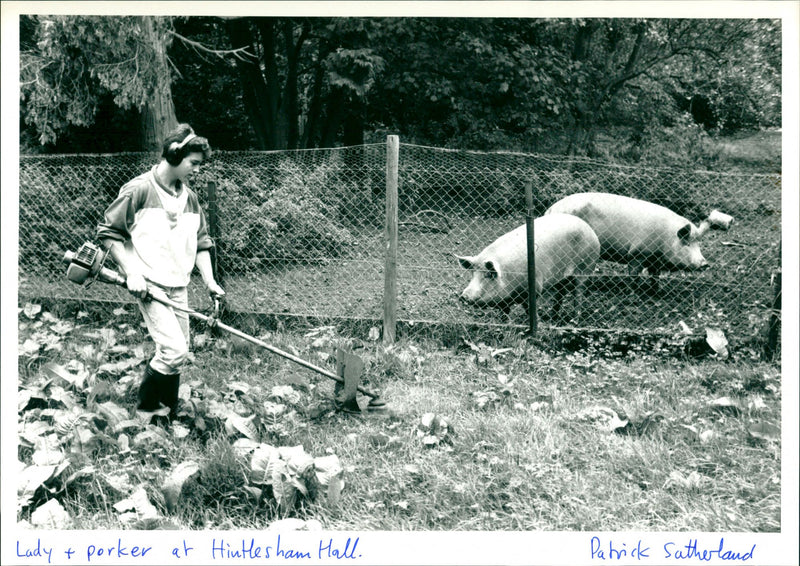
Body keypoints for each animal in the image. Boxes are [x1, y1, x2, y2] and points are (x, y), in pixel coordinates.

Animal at [456, 214, 600, 322]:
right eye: (473, 273)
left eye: (489, 275)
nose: (464, 296)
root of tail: (589, 229)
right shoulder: (504, 299)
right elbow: (504, 312)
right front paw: (506, 325)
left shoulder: (534, 289)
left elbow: (530, 310)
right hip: (561, 277)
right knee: (560, 293)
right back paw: (552, 317)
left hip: (585, 268)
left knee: (578, 294)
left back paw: (573, 321)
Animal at [544, 192, 712, 278]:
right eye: (687, 243)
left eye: (698, 244)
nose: (705, 263)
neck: (666, 238)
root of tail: (551, 209)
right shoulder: (637, 254)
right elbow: (633, 275)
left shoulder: (655, 262)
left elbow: (655, 278)